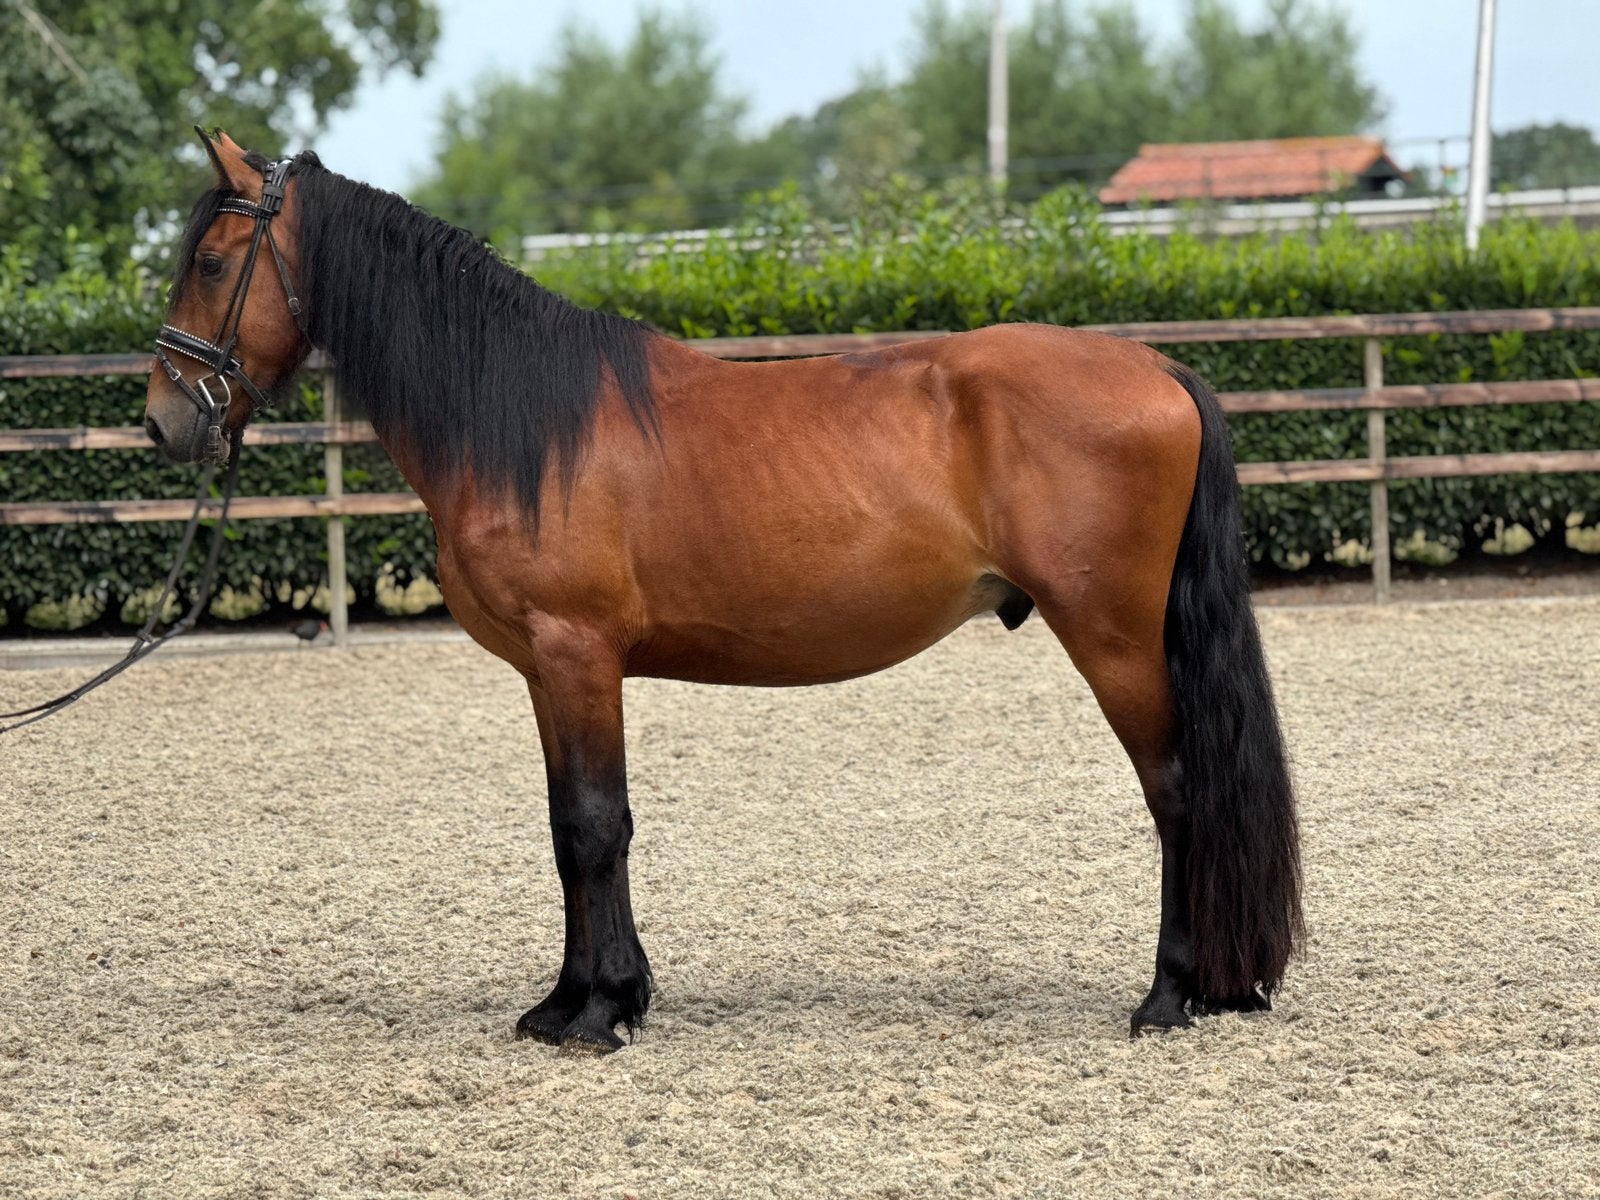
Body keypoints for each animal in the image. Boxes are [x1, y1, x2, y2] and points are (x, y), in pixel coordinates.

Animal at [144, 129, 1302, 1052]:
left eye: (209, 259)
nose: (165, 420)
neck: (523, 420)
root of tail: (1157, 369)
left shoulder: (578, 654)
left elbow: (593, 826)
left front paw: (603, 1012)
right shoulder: (545, 673)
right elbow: (566, 829)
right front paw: (569, 1002)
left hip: (1112, 637)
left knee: (1178, 792)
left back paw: (1168, 996)